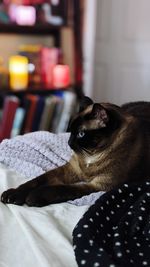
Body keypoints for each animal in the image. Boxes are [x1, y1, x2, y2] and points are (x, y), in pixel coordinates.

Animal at [1, 97, 150, 207]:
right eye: (71, 131)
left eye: (80, 134)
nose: (69, 142)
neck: (92, 155)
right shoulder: (69, 170)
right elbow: (35, 181)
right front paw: (12, 195)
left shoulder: (98, 185)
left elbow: (62, 188)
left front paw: (33, 198)